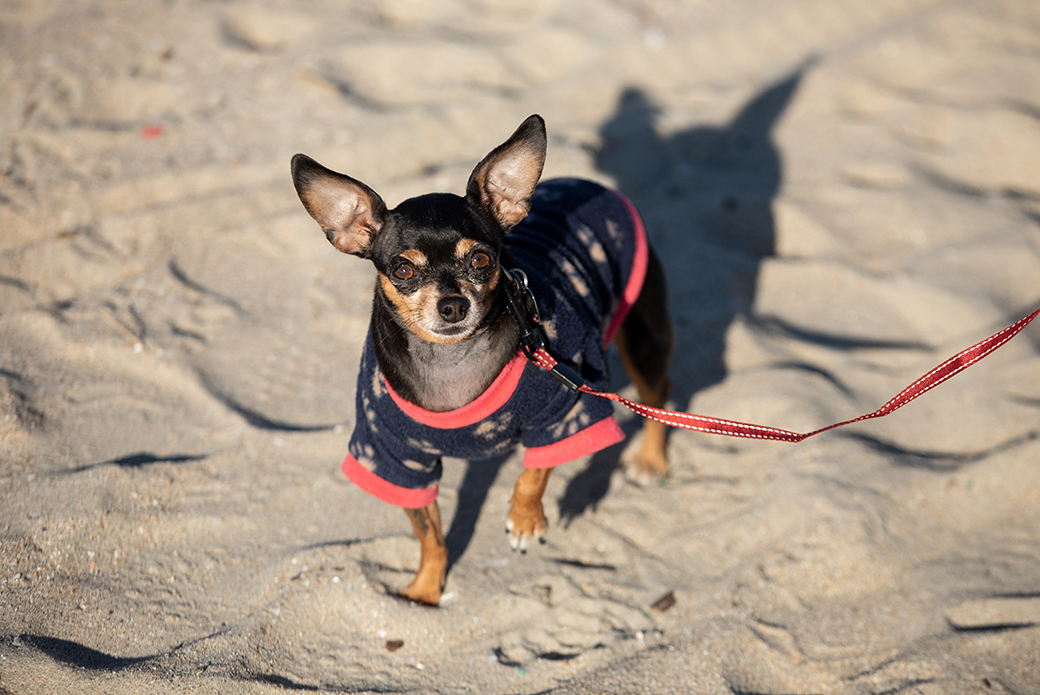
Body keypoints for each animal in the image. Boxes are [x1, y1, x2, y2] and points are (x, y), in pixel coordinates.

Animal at [291, 116, 673, 603]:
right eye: (403, 270)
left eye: (480, 259)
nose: (453, 304)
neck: (452, 361)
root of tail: (591, 184)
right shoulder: (395, 459)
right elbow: (429, 534)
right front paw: (424, 591)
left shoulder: (564, 407)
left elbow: (534, 471)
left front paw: (526, 520)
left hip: (643, 338)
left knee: (657, 394)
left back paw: (651, 461)